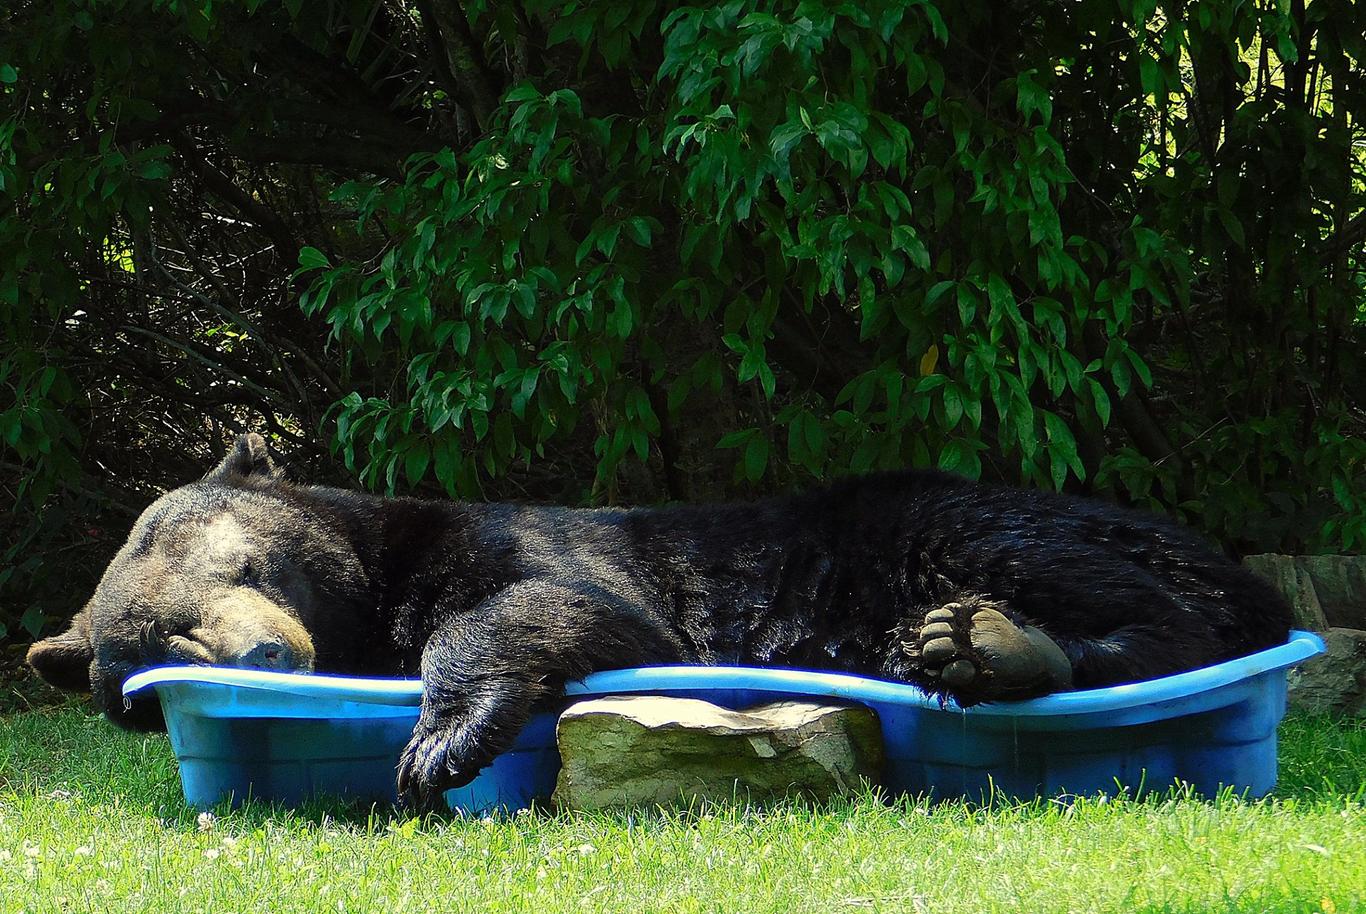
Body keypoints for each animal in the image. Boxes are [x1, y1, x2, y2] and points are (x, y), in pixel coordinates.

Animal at [29, 431, 1289, 803]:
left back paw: (991, 638)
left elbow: (562, 606)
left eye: (241, 564)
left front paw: (441, 740)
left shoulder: (523, 541)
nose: (264, 652)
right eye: (145, 655)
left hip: (960, 519)